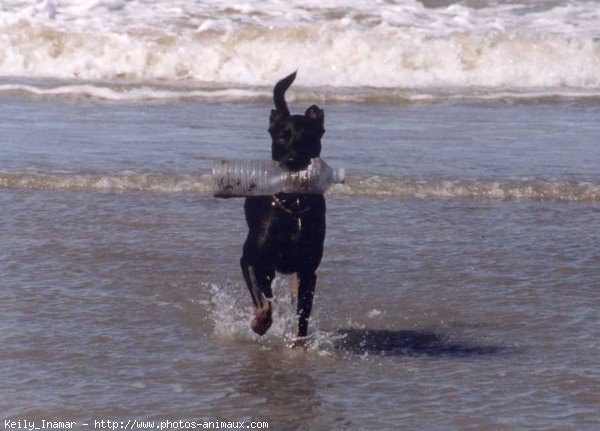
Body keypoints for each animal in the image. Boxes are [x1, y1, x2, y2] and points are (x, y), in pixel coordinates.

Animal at [240, 72, 326, 342]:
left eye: (308, 139)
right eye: (281, 138)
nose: (292, 160)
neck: (293, 206)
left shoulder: (309, 269)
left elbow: (303, 315)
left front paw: (299, 343)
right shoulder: (250, 260)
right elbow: (263, 304)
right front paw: (259, 324)